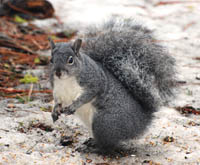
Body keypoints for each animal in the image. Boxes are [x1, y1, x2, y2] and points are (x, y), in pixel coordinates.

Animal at [49, 17, 176, 152]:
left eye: (70, 60)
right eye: (51, 60)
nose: (58, 72)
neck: (66, 80)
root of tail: (142, 121)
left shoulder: (94, 82)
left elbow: (87, 96)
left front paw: (74, 106)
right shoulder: (57, 90)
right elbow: (57, 101)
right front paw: (55, 111)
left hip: (104, 122)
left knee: (107, 145)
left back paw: (93, 148)